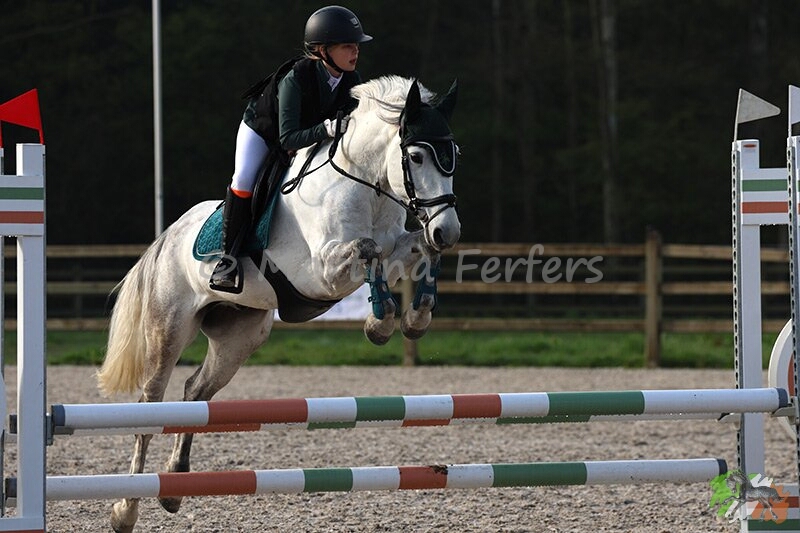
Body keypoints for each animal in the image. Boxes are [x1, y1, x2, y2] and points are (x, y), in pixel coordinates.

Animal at [95, 75, 461, 533]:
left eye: (453, 155)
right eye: (415, 156)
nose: (449, 231)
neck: (366, 187)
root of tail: (168, 236)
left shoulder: (397, 251)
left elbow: (416, 252)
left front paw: (415, 318)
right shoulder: (322, 272)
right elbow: (368, 249)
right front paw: (379, 324)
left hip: (241, 336)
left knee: (196, 391)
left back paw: (174, 487)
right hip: (168, 329)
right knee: (150, 406)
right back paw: (125, 510)